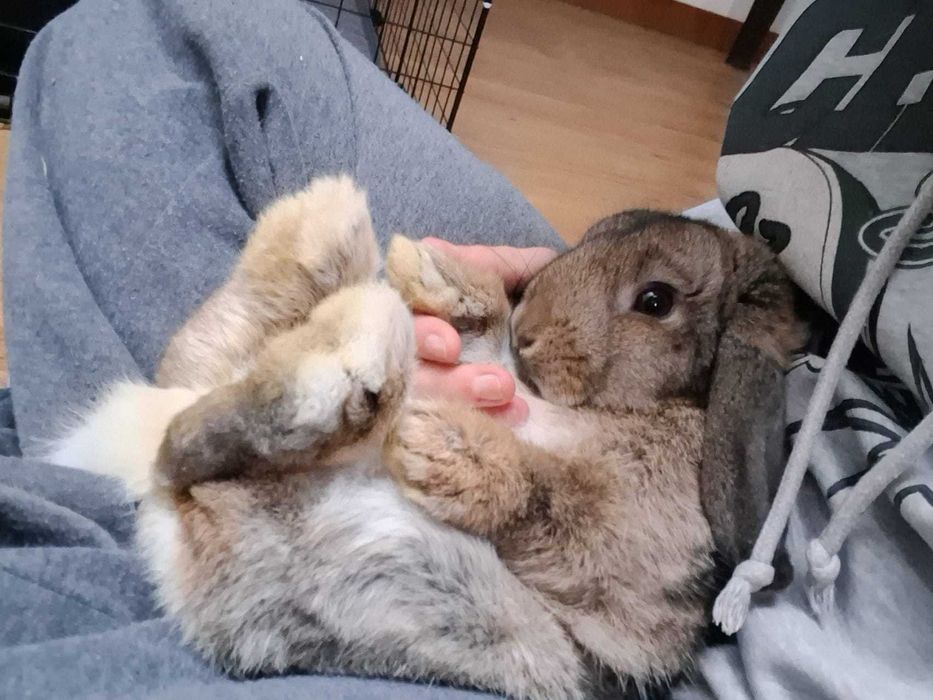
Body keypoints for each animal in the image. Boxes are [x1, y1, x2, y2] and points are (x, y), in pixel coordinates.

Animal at [49, 175, 803, 699]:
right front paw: (437, 275)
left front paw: (439, 447)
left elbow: (552, 497)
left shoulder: (626, 537)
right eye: (593, 235)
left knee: (207, 435)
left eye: (655, 300)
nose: (530, 331)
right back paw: (319, 229)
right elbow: (480, 321)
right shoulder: (492, 358)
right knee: (207, 365)